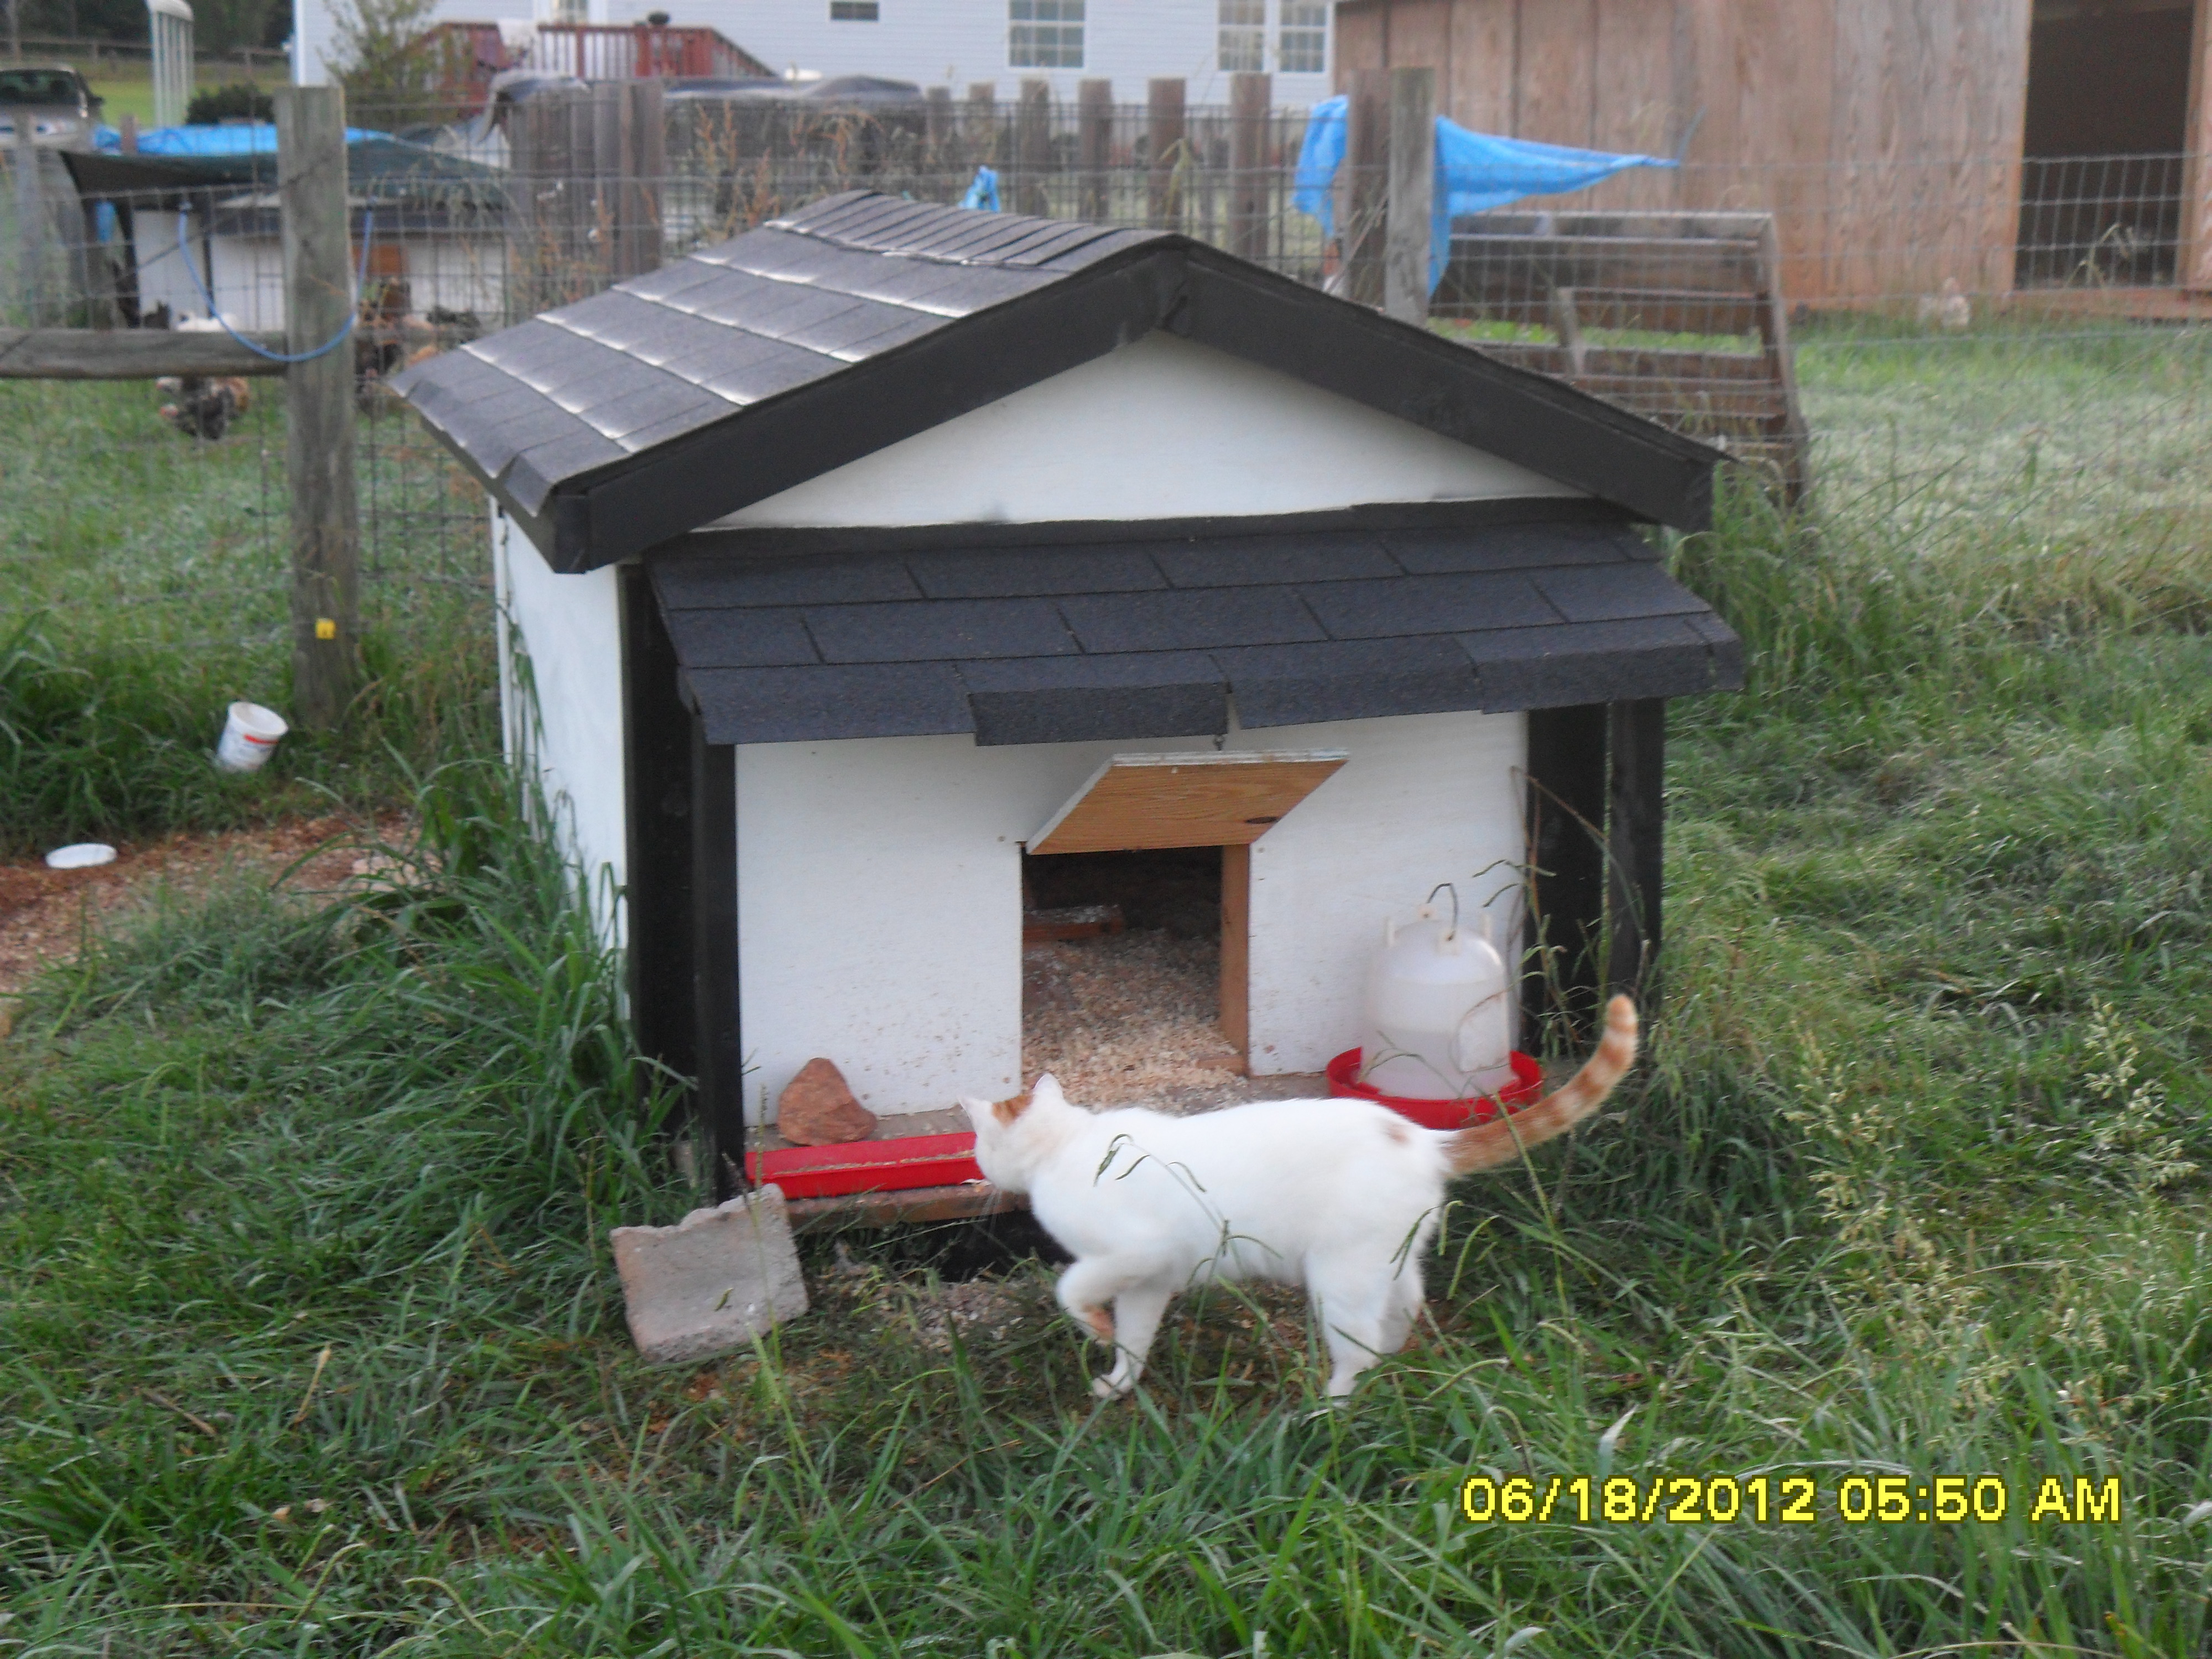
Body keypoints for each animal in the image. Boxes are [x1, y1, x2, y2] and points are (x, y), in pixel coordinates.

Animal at [960, 993, 1639, 1401]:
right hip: (1387, 1261)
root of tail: (1421, 1138)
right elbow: (1135, 1336)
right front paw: (1120, 1381)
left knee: (1356, 1346)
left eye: (979, 1144)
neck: (1067, 1143)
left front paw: (1094, 1330)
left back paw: (1330, 1406)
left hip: (1339, 1276)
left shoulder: (1134, 1253)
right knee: (1402, 1313)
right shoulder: (1148, 1280)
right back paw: (1389, 1366)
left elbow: (1070, 1288)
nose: (981, 1173)